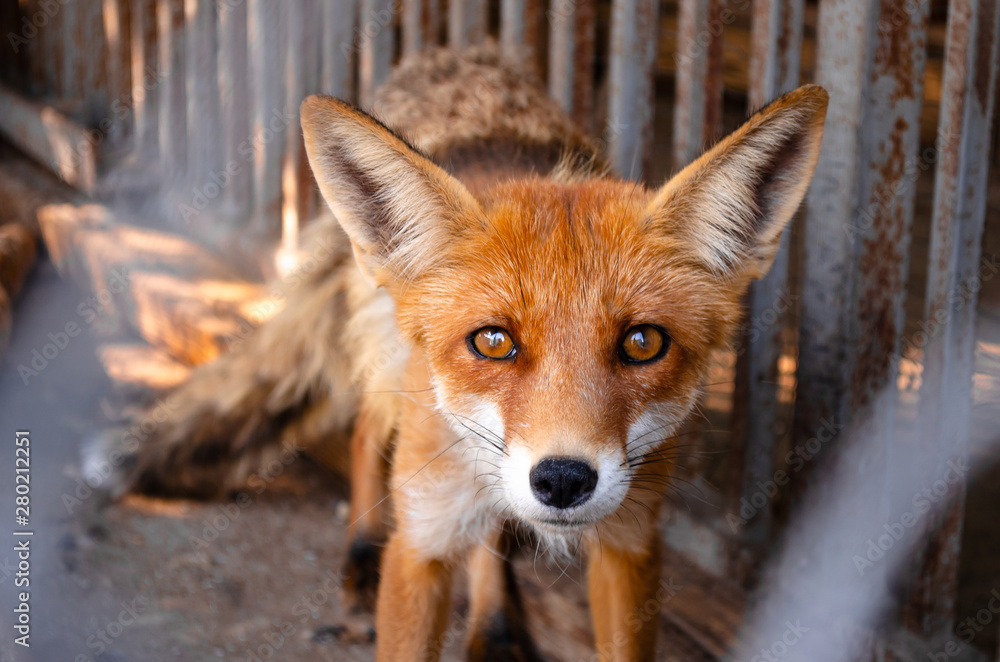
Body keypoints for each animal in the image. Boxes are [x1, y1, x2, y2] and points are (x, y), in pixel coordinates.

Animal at [98, 46, 828, 661]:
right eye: (493, 342)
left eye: (643, 343)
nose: (563, 480)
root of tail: (454, 52)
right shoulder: (420, 546)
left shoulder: (631, 545)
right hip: (383, 352)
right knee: (366, 428)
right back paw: (361, 549)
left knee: (490, 532)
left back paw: (496, 624)